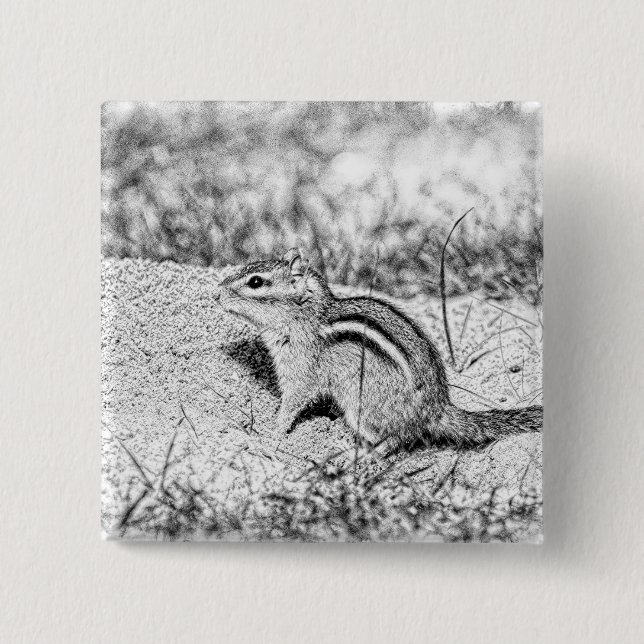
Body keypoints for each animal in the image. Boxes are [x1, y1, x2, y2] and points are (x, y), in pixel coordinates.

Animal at [217, 248, 542, 455]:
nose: (217, 293)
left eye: (256, 281)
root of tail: (436, 410)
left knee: (397, 440)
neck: (306, 316)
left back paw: (356, 455)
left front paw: (271, 433)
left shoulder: (300, 370)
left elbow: (292, 403)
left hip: (361, 405)